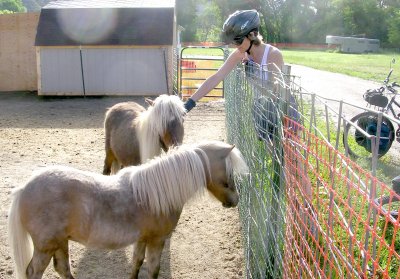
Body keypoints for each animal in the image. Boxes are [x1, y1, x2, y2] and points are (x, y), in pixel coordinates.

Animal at [8, 141, 247, 279]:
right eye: (228, 173)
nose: (235, 200)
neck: (155, 192)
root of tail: (24, 188)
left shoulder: (142, 239)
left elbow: (136, 264)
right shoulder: (157, 240)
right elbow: (153, 269)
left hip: (59, 242)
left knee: (62, 269)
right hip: (45, 246)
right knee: (34, 272)